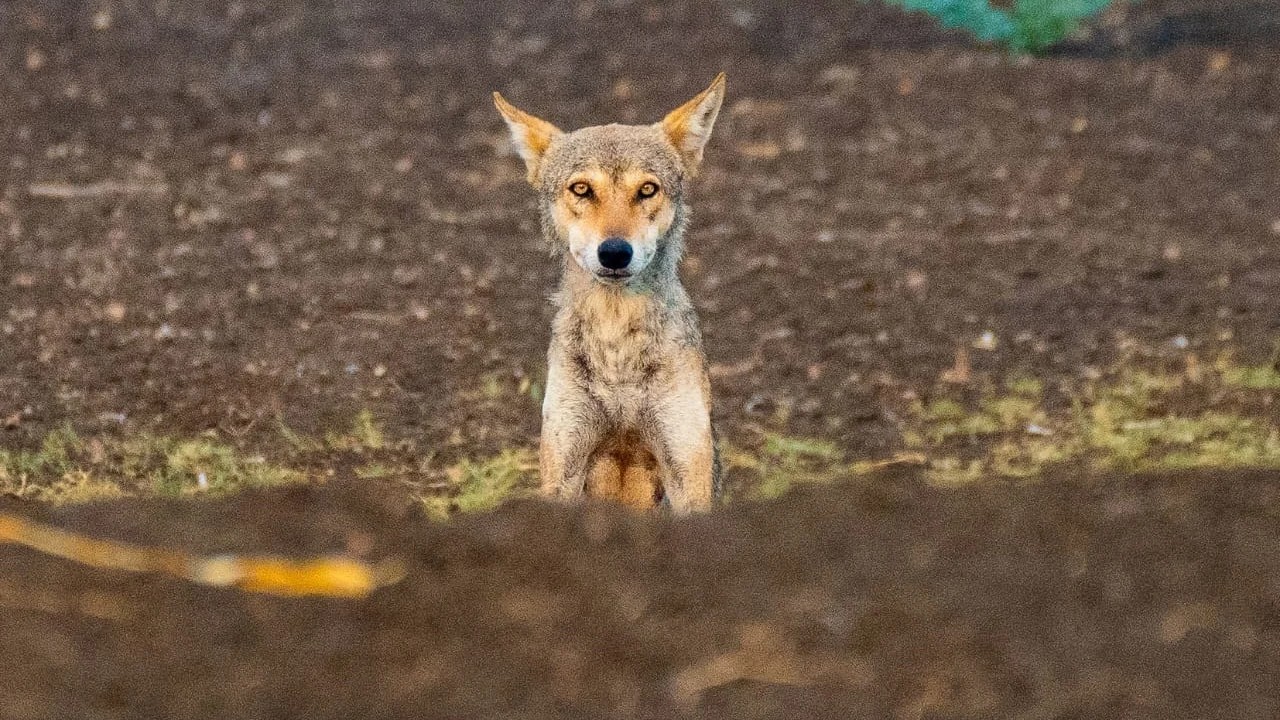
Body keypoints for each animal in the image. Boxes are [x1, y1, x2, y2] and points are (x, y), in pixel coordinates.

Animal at [493, 74, 726, 513]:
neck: (616, 351)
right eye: (582, 189)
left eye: (647, 190)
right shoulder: (565, 462)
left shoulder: (686, 469)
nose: (615, 252)